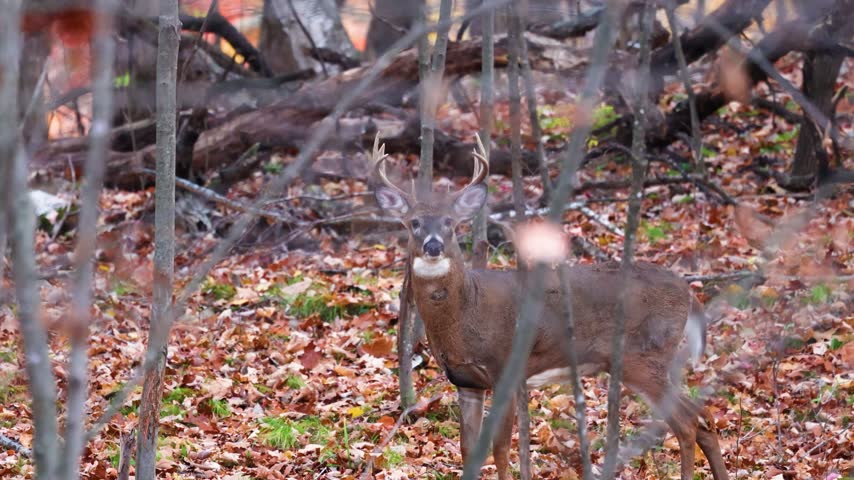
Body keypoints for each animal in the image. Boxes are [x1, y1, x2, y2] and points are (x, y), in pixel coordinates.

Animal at [370, 134, 729, 480]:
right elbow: (468, 449)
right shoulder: (467, 382)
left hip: (642, 356)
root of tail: (689, 293)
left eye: (450, 222)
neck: (466, 310)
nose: (433, 246)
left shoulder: (506, 370)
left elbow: (501, 448)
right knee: (704, 415)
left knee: (686, 422)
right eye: (414, 222)